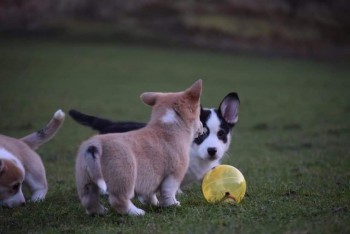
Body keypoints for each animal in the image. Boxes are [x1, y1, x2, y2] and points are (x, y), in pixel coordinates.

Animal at [75, 80, 204, 216]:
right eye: (199, 116)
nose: (203, 128)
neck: (168, 125)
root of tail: (94, 145)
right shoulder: (174, 174)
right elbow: (169, 192)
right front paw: (173, 205)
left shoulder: (150, 181)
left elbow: (149, 195)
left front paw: (154, 204)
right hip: (124, 178)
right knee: (119, 200)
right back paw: (136, 212)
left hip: (86, 182)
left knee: (89, 200)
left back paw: (100, 212)